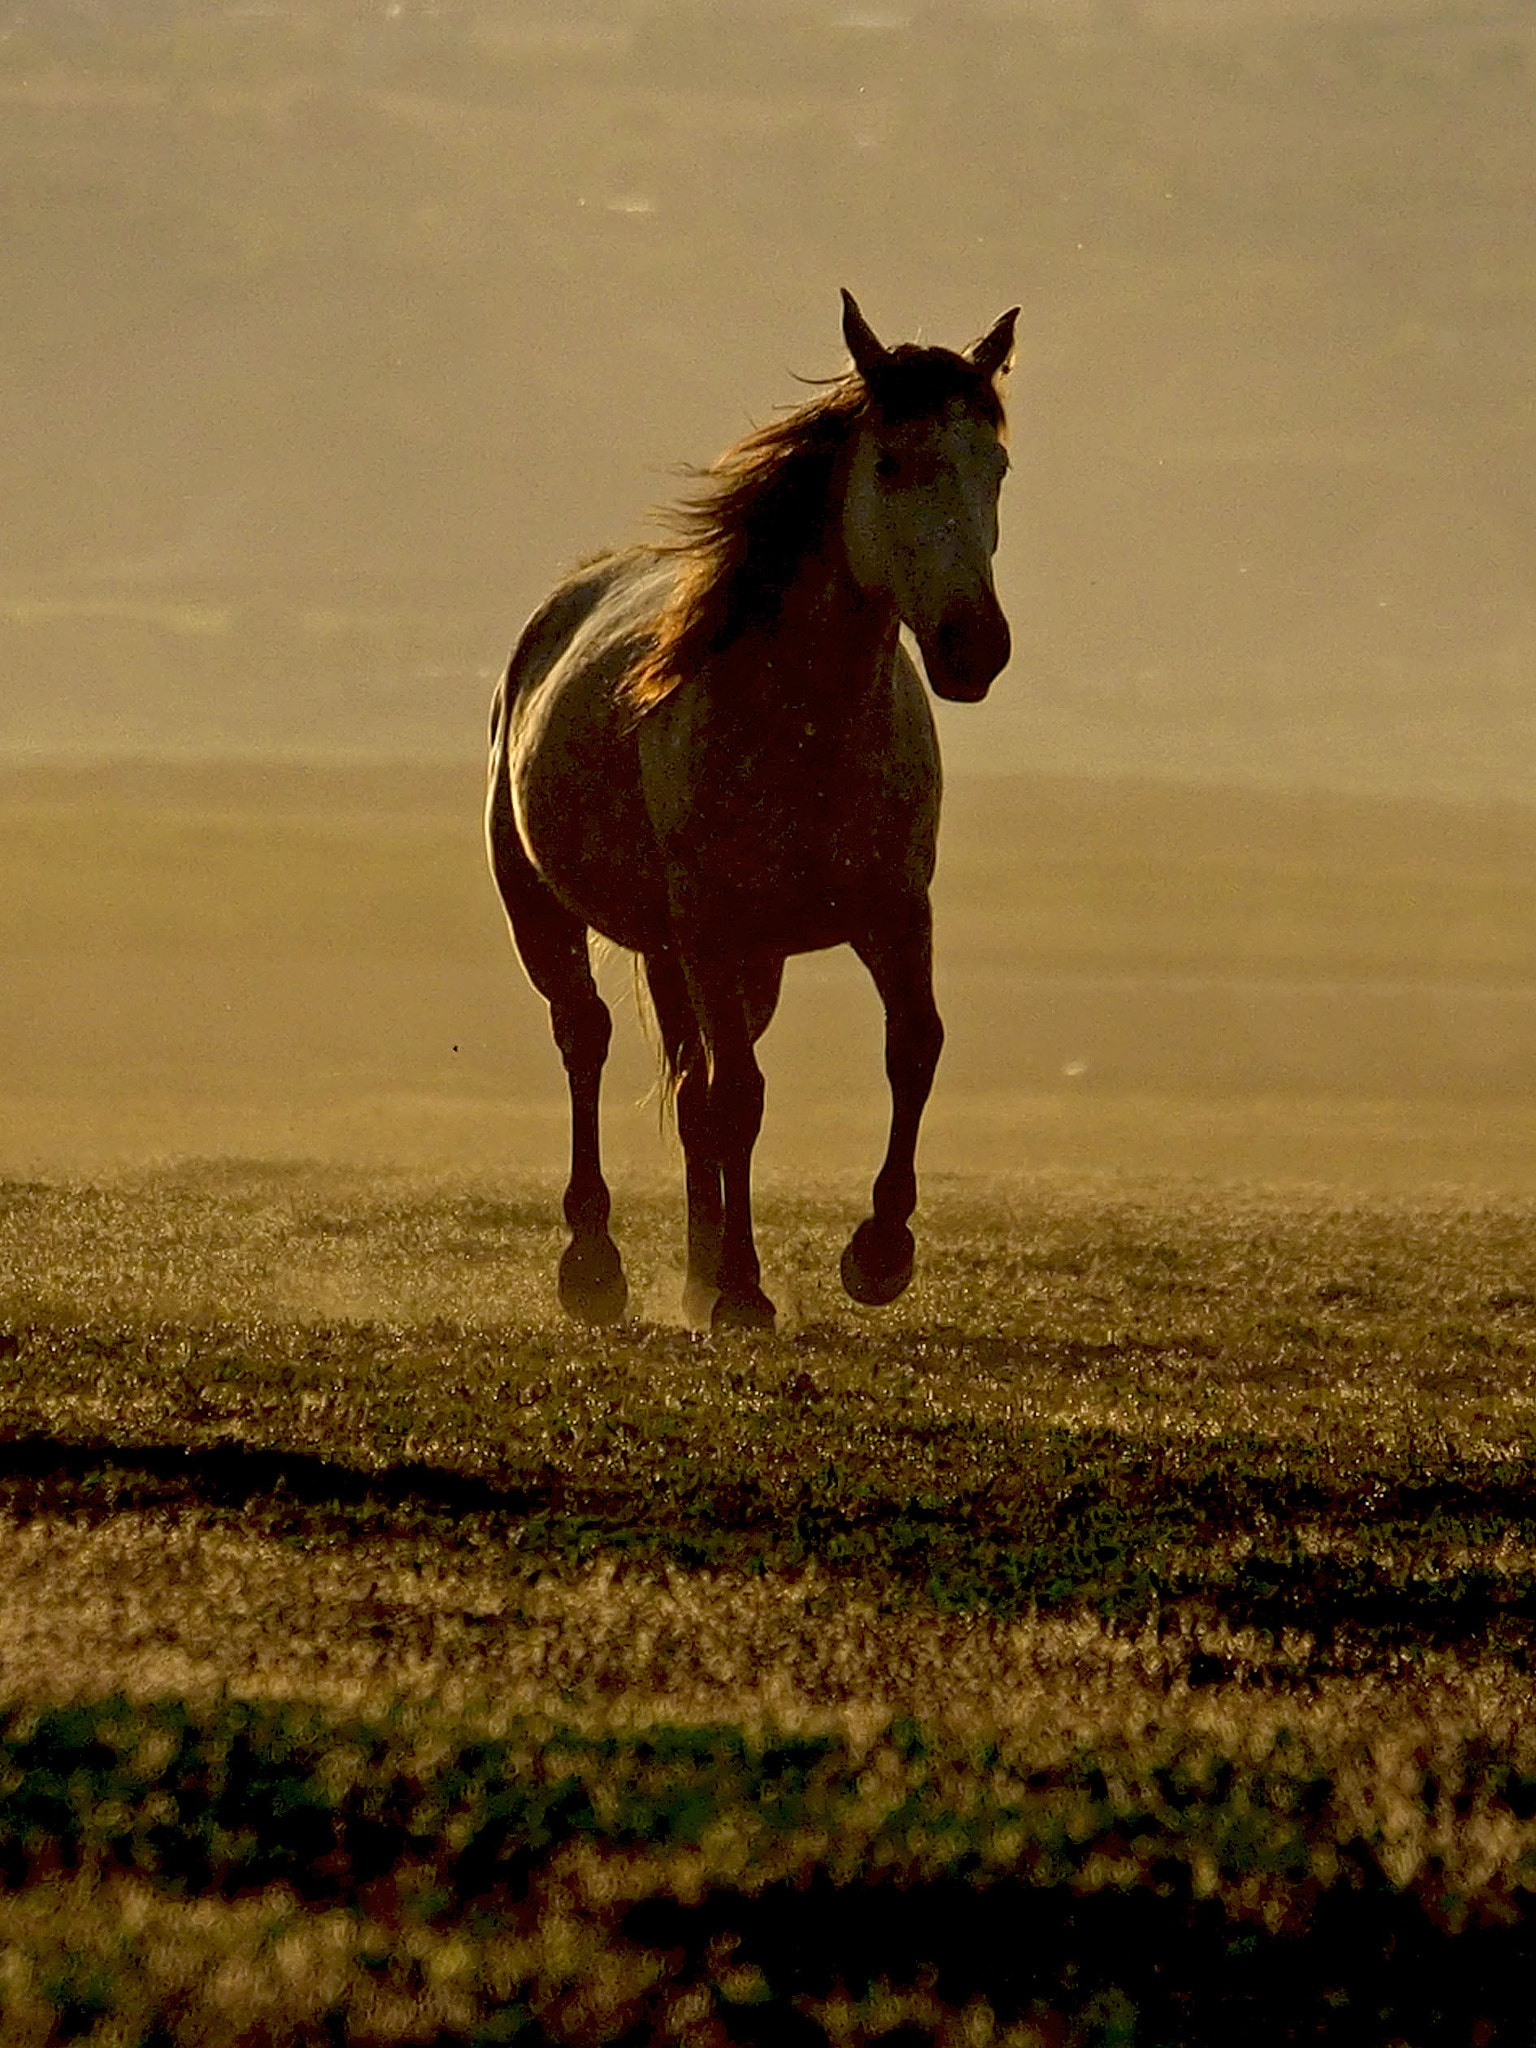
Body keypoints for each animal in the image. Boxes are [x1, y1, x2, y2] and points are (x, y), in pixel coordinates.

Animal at [486, 290, 1017, 1330]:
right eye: (891, 462)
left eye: (999, 469)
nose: (975, 644)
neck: (804, 722)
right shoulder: (714, 927)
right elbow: (737, 1096)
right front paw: (742, 1285)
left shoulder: (893, 914)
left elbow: (913, 1050)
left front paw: (878, 1252)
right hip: (554, 916)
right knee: (587, 1043)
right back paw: (597, 1265)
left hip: (718, 960)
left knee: (693, 1089)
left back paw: (694, 1274)